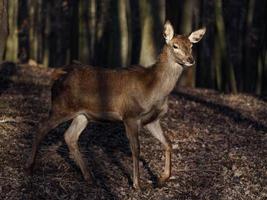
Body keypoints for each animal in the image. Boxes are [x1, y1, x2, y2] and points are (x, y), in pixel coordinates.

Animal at [25, 21, 206, 190]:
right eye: (175, 45)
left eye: (191, 46)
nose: (190, 60)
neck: (154, 90)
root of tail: (58, 77)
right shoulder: (130, 115)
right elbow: (136, 149)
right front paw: (137, 184)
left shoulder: (152, 119)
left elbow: (167, 143)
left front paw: (162, 178)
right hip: (62, 106)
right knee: (41, 126)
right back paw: (30, 167)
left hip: (83, 115)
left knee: (70, 136)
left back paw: (90, 177)